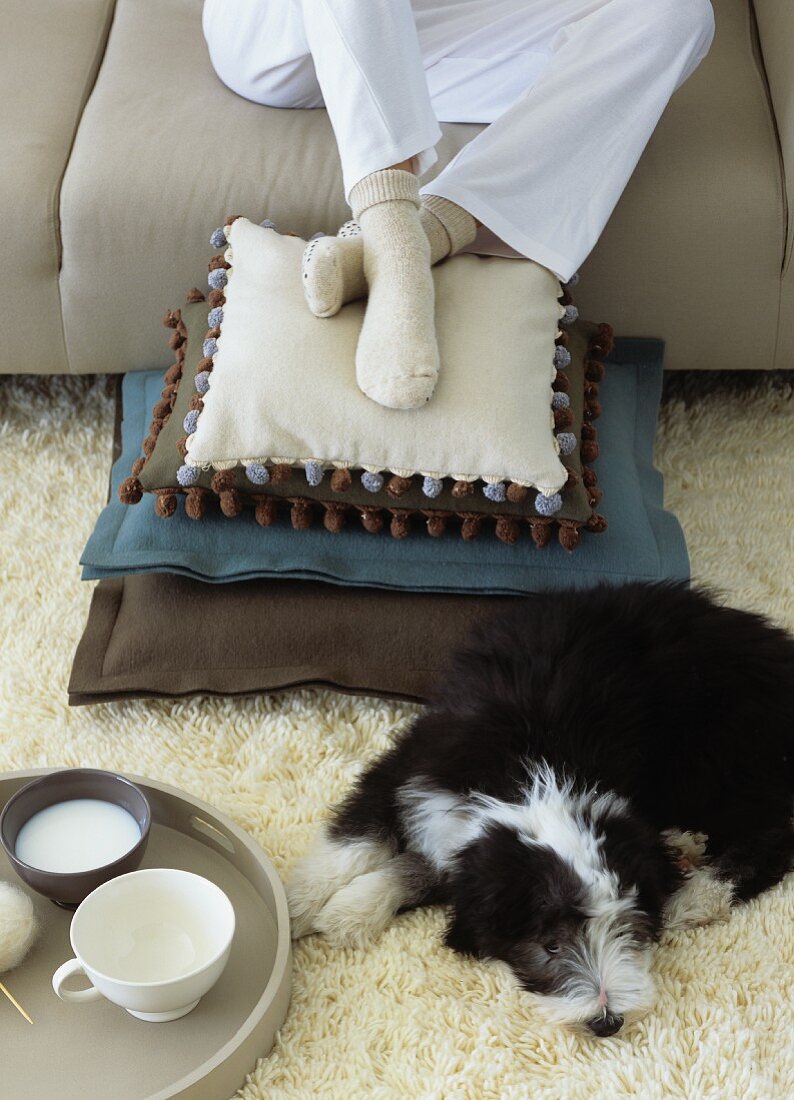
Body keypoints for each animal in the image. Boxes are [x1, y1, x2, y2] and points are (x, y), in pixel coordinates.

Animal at [288, 585, 791, 1038]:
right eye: (550, 945)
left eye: (628, 928)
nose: (607, 1023)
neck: (538, 769)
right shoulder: (414, 770)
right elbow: (360, 838)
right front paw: (311, 908)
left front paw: (343, 912)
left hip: (718, 755)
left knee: (773, 833)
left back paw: (698, 894)